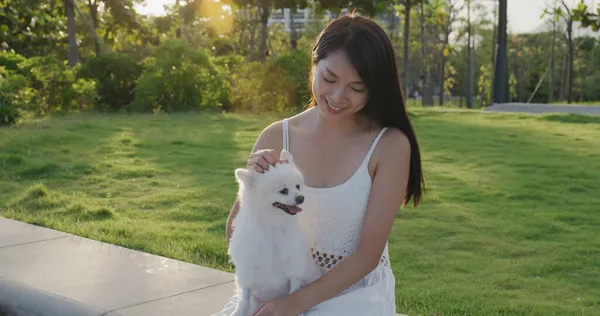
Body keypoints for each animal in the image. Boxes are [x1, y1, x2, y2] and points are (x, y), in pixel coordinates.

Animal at [229, 149, 322, 316]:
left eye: (298, 186)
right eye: (284, 191)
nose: (301, 198)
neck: (273, 226)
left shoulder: (293, 266)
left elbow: (294, 292)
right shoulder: (247, 269)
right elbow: (244, 297)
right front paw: (239, 312)